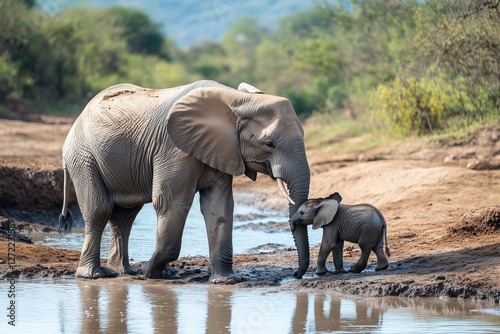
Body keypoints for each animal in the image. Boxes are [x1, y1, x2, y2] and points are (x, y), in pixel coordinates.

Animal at [57, 80, 308, 282]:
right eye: (269, 144)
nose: (296, 274)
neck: (234, 100)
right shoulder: (174, 149)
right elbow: (171, 203)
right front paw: (149, 272)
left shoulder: (220, 149)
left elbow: (219, 207)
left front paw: (226, 281)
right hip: (83, 157)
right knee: (99, 210)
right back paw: (95, 275)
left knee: (124, 216)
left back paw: (124, 272)